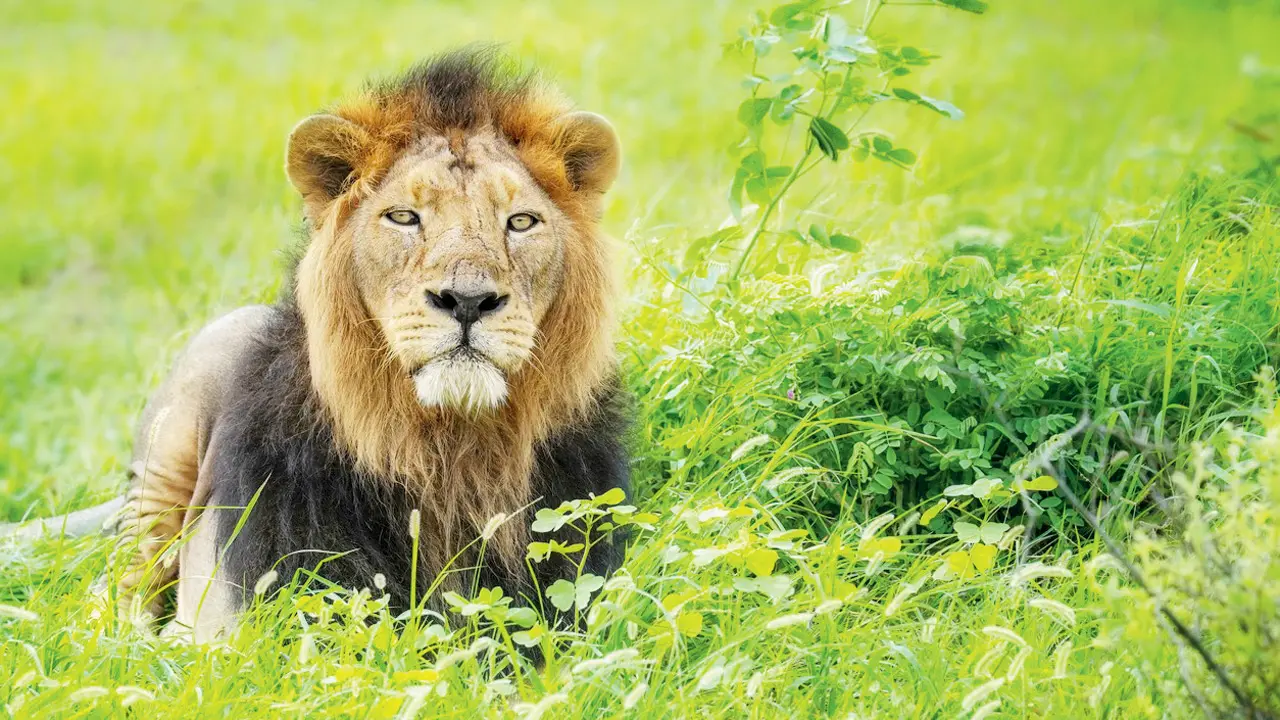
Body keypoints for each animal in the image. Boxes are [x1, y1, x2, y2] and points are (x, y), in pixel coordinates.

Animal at [4, 49, 629, 641]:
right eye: (404, 217)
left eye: (521, 222)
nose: (468, 300)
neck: (449, 452)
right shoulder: (239, 620)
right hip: (168, 453)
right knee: (121, 584)